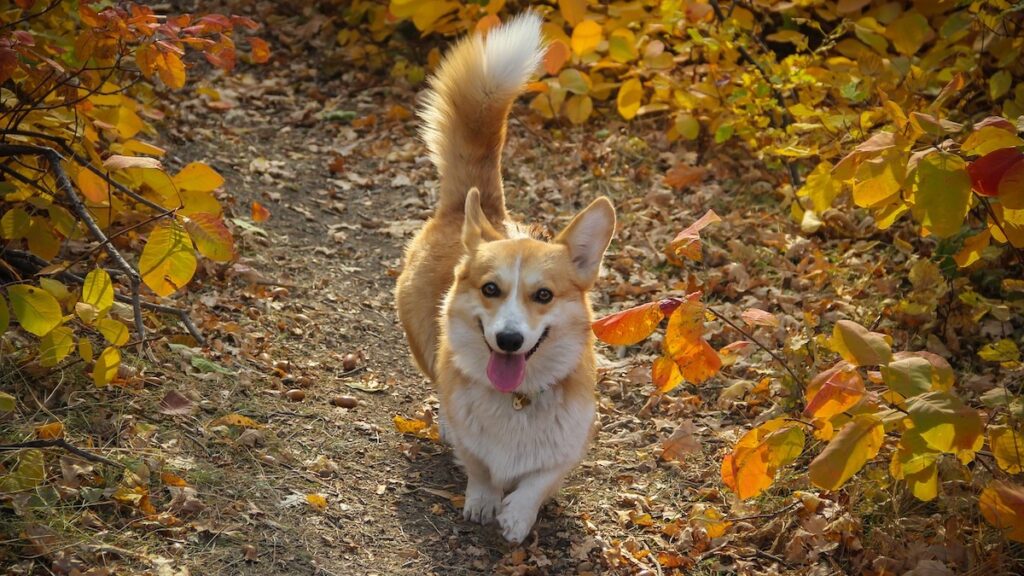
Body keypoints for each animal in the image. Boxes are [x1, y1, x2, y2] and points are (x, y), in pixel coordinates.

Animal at [393, 13, 614, 541]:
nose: (510, 340)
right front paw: (484, 500)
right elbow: (479, 466)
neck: (516, 400)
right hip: (422, 341)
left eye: (544, 295)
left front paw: (517, 515)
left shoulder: (570, 445)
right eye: (491, 289)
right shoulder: (474, 443)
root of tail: (473, 209)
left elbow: (539, 479)